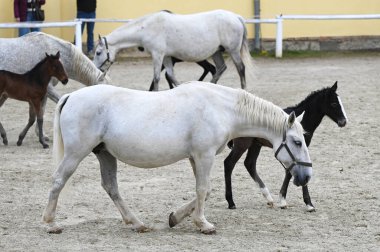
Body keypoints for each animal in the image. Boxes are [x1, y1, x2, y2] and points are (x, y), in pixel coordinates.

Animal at [43, 82, 314, 234]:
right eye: (297, 142)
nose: (306, 176)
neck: (220, 107)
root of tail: (71, 97)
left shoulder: (196, 157)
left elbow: (204, 190)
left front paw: (175, 218)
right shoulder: (204, 155)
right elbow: (203, 189)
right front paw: (203, 224)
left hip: (105, 154)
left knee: (111, 187)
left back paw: (137, 223)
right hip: (76, 153)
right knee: (57, 181)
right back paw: (50, 224)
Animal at [91, 10, 252, 90]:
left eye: (98, 53)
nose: (97, 71)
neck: (147, 27)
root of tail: (236, 17)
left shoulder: (157, 55)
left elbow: (157, 78)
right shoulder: (167, 57)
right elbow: (171, 76)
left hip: (233, 51)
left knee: (241, 69)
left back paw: (243, 91)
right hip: (216, 52)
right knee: (220, 68)